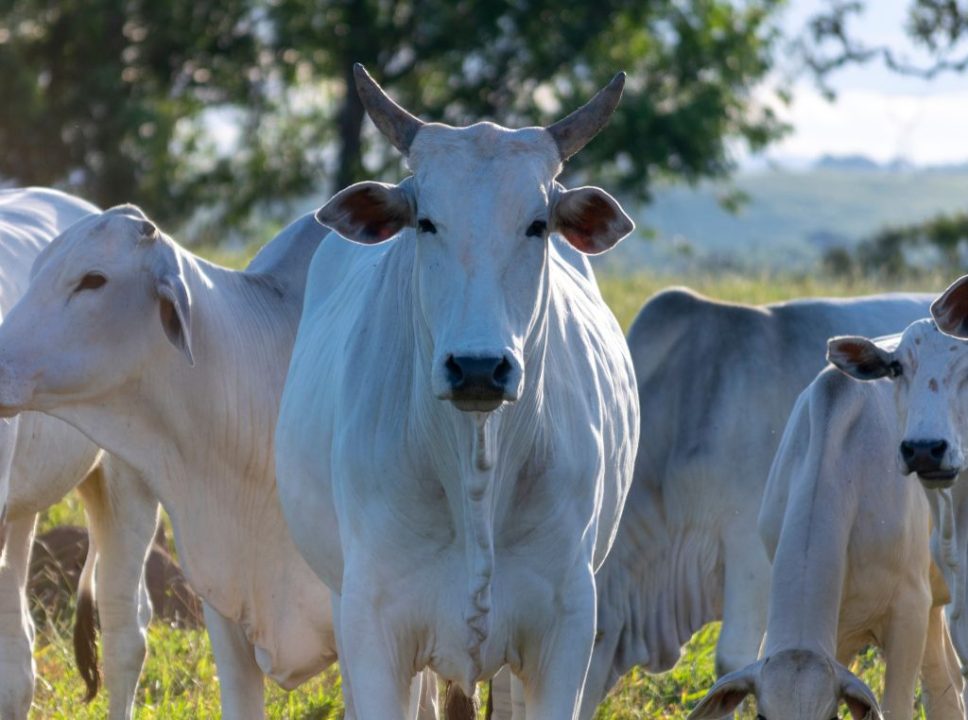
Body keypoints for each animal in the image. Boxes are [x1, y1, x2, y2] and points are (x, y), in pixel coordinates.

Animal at [274, 64, 636, 716]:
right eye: (426, 222)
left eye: (537, 225)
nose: (477, 368)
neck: (475, 464)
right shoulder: (375, 627)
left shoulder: (565, 626)